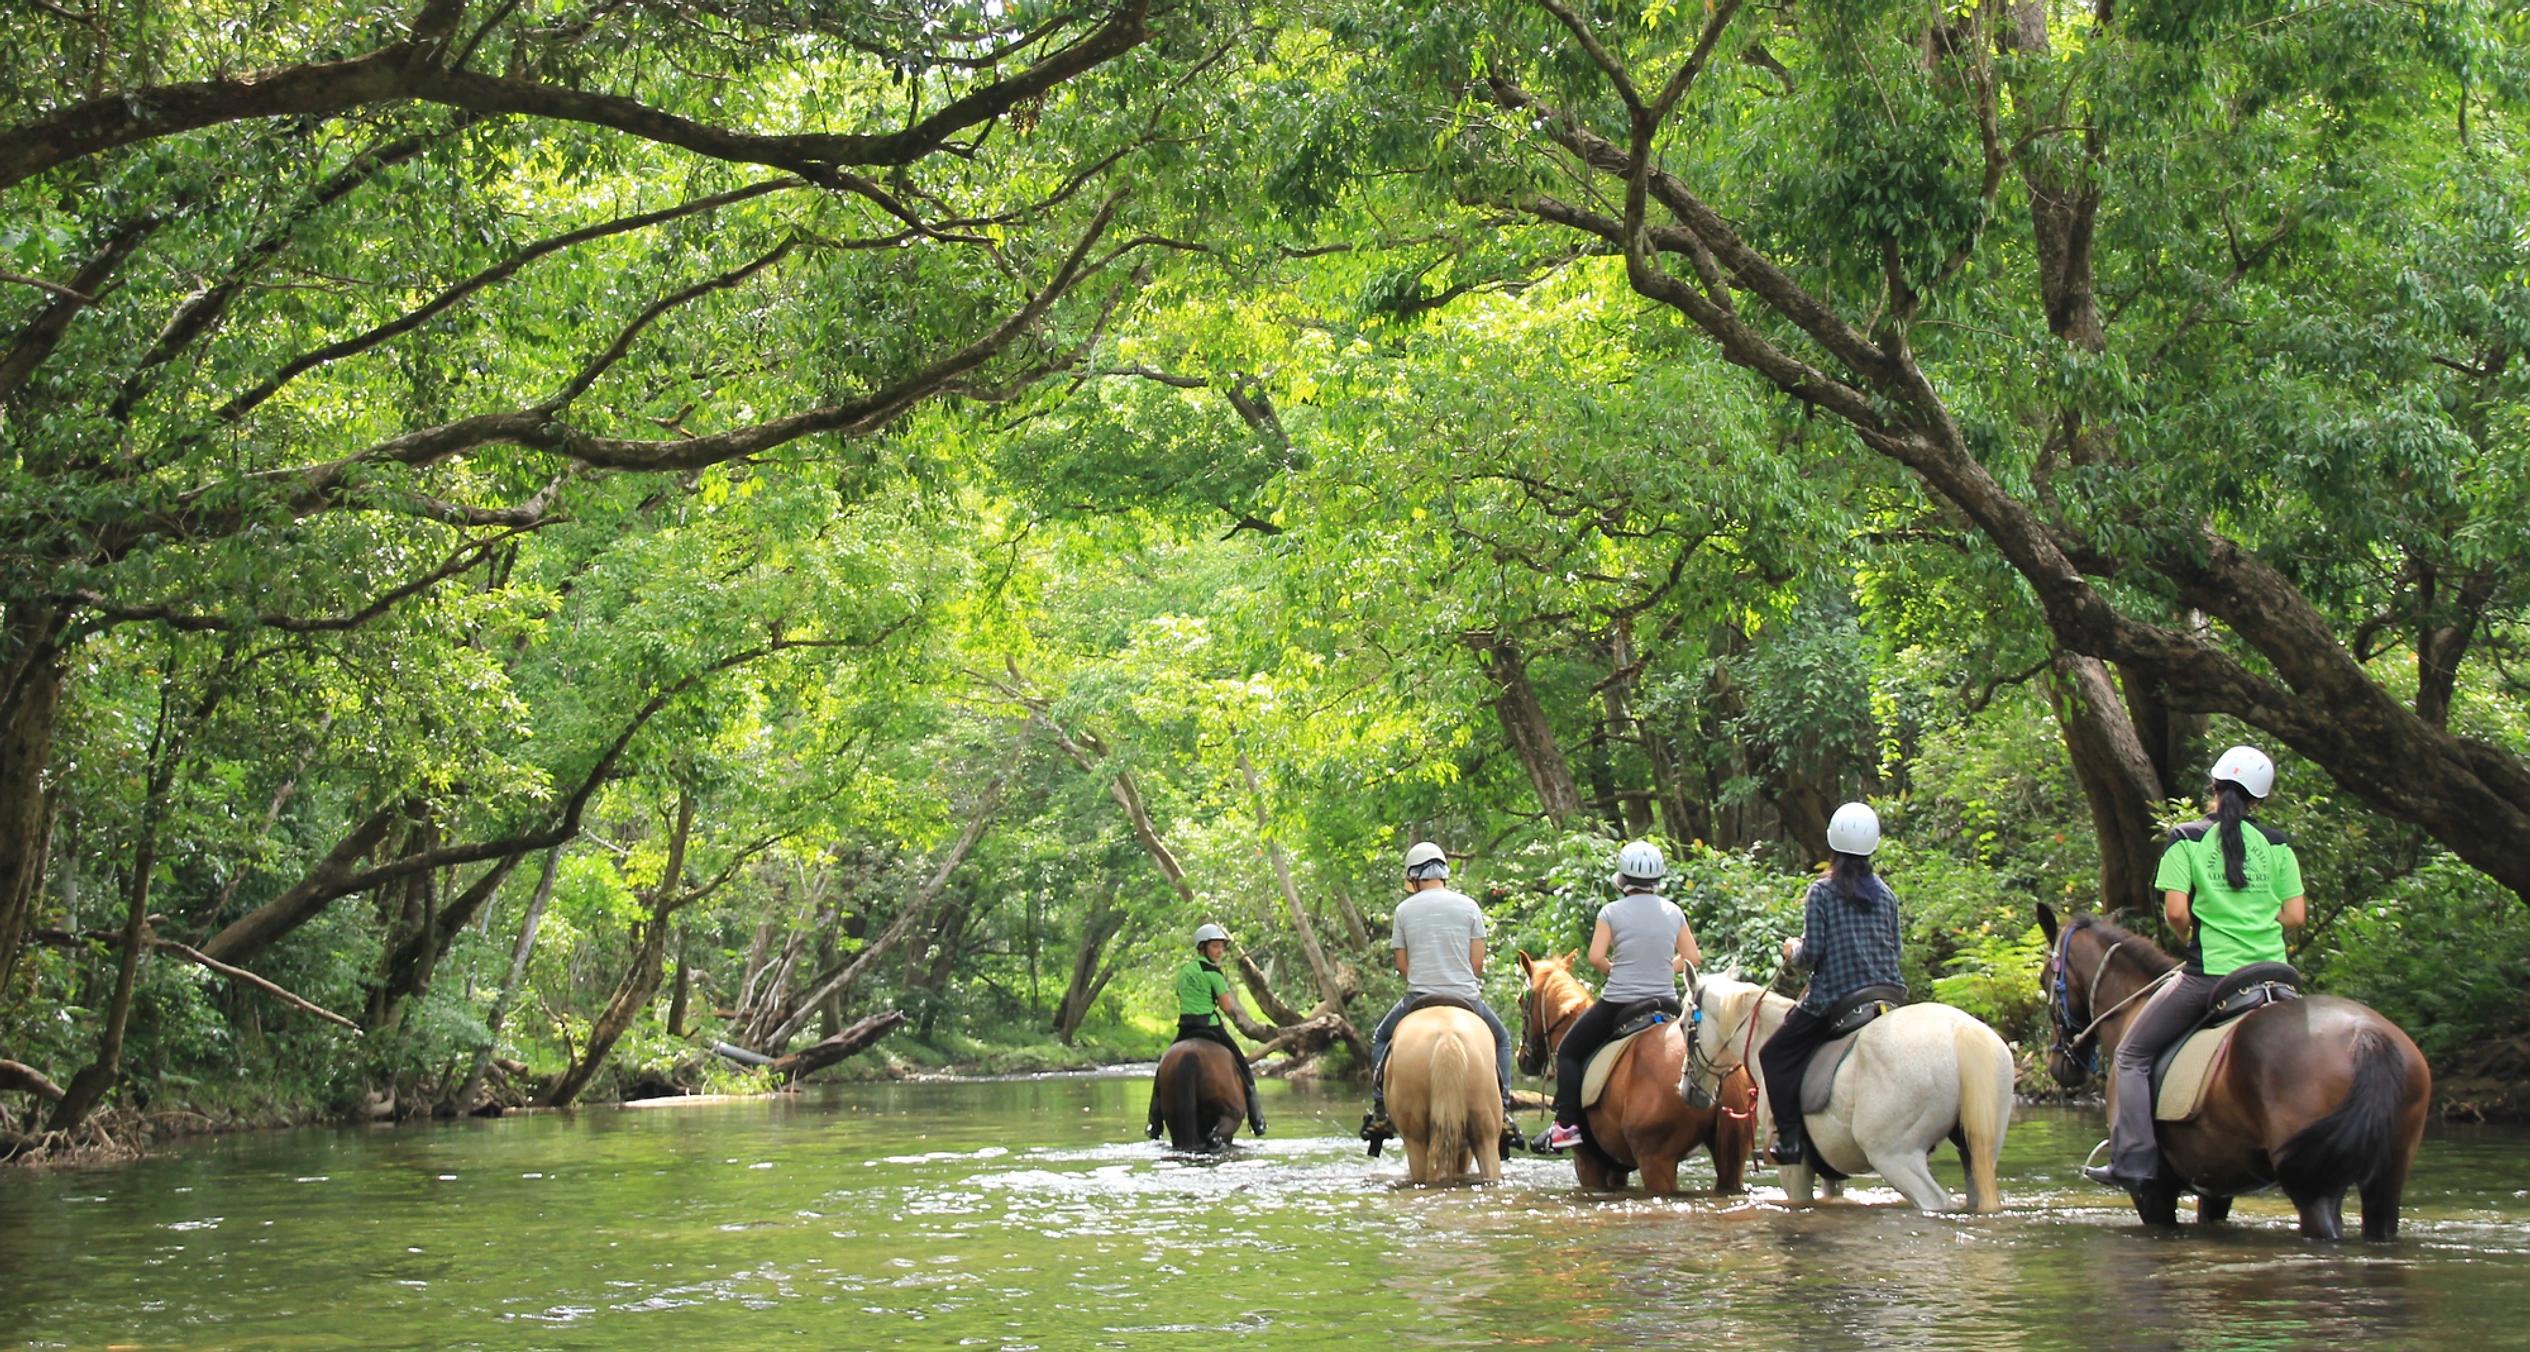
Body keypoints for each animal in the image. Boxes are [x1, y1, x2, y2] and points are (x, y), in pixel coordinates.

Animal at [1507, 951, 1750, 1200]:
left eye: (1520, 1001)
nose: (1522, 1058)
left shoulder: (1587, 1162)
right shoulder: (1617, 1166)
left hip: (1655, 1161)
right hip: (1730, 1161)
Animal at [1679, 977, 2013, 1220]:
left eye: (1683, 1025)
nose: (1686, 1091)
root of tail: (1962, 1032)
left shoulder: (1794, 1167)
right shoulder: (1830, 1168)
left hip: (1895, 1156)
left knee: (1936, 1200)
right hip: (1978, 1148)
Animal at [2034, 906, 2428, 1245]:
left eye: (2044, 979)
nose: (2058, 1066)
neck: (2132, 1007)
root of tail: (2365, 1034)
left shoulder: (2152, 1191)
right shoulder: (2216, 1185)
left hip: (2316, 1189)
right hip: (2386, 1179)